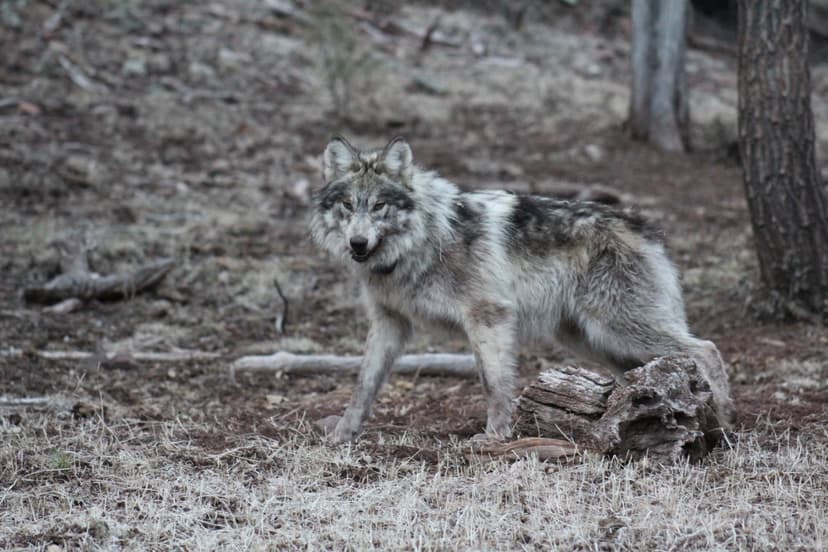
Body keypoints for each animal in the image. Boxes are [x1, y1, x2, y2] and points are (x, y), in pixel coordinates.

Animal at [311, 136, 733, 444]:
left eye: (379, 206)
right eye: (347, 205)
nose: (358, 244)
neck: (424, 239)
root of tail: (644, 225)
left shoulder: (489, 317)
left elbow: (494, 382)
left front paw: (494, 437)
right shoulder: (390, 323)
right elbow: (363, 384)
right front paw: (344, 433)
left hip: (619, 329)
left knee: (706, 349)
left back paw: (723, 422)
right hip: (593, 340)